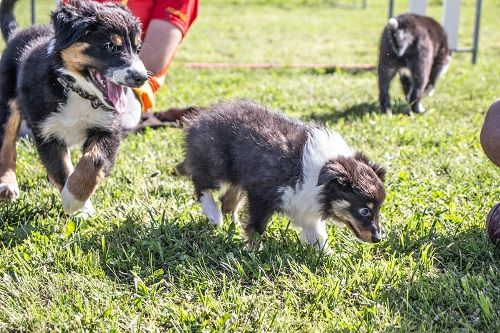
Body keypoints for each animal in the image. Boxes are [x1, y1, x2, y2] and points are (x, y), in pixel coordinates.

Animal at [0, 0, 148, 215]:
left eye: (138, 49)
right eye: (110, 46)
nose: (142, 78)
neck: (78, 91)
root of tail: (17, 34)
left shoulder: (108, 128)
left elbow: (94, 160)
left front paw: (76, 200)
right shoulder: (47, 132)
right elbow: (61, 168)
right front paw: (76, 205)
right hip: (7, 105)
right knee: (6, 144)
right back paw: (7, 185)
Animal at [179, 100, 386, 253]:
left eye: (378, 209)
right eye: (364, 210)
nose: (378, 239)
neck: (320, 179)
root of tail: (199, 117)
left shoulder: (304, 205)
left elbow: (317, 235)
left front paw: (329, 258)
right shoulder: (261, 194)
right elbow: (257, 226)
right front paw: (255, 251)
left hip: (237, 177)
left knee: (228, 202)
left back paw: (231, 224)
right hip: (215, 164)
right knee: (201, 185)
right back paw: (214, 215)